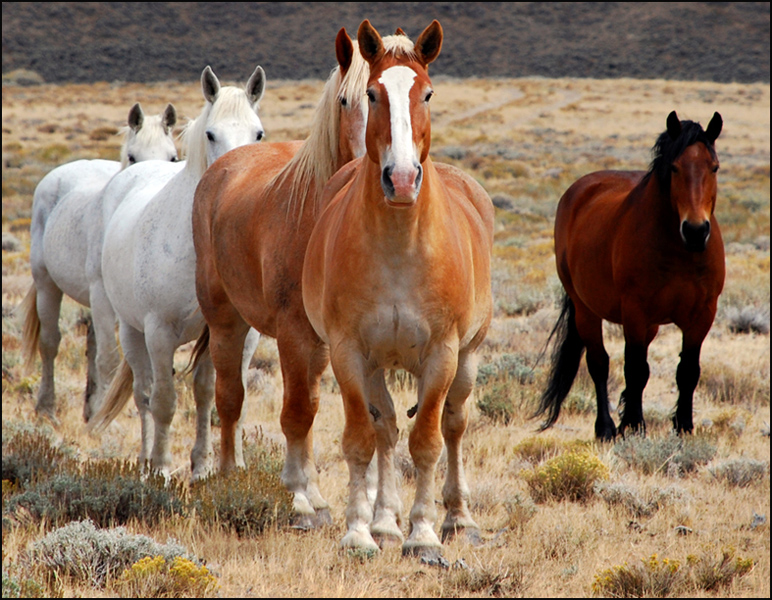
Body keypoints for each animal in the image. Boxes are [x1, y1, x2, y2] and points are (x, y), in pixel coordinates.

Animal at [21, 102, 179, 422]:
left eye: (173, 157)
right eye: (132, 156)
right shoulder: (104, 297)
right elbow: (109, 360)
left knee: (91, 345)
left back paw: (89, 406)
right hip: (47, 284)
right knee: (50, 342)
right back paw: (47, 408)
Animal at [88, 63, 266, 480]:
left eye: (259, 134)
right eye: (211, 134)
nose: (238, 181)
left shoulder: (236, 332)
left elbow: (219, 394)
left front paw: (214, 467)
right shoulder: (159, 332)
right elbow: (165, 401)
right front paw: (163, 470)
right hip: (132, 331)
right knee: (143, 394)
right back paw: (144, 462)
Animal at [195, 28, 372, 524]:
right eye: (348, 100)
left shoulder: (328, 339)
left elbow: (309, 408)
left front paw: (314, 492)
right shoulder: (292, 332)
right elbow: (293, 412)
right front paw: (297, 495)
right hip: (226, 322)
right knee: (228, 396)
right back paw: (228, 471)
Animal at [304, 18, 494, 556]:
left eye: (427, 93)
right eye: (372, 94)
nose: (403, 179)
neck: (397, 243)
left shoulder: (442, 354)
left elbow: (427, 441)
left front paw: (425, 533)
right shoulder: (349, 352)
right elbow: (361, 439)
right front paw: (359, 531)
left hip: (467, 360)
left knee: (454, 425)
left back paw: (458, 518)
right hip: (374, 366)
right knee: (385, 428)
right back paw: (386, 521)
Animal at [536, 111, 724, 440]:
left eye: (713, 167)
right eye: (674, 168)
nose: (695, 230)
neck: (680, 251)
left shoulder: (702, 315)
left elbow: (687, 371)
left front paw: (684, 427)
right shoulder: (636, 311)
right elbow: (635, 368)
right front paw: (635, 426)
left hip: (650, 325)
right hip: (586, 310)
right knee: (599, 363)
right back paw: (606, 427)